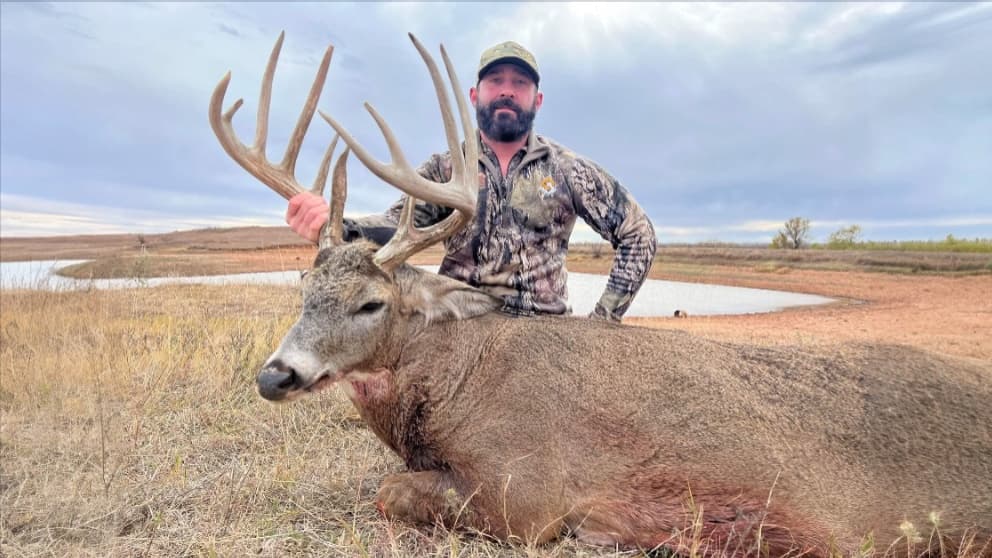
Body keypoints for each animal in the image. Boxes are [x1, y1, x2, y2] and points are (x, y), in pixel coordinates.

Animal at [209, 33, 992, 556]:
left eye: (371, 303)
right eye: (303, 287)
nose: (275, 375)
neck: (458, 379)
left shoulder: (527, 494)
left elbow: (388, 490)